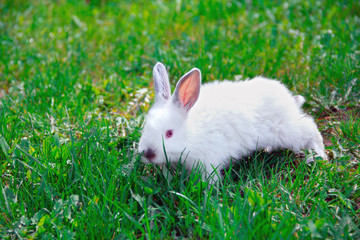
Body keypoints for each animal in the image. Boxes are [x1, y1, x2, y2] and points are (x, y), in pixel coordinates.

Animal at [137, 62, 326, 181]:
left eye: (169, 133)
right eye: (145, 128)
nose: (148, 154)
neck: (192, 133)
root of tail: (289, 99)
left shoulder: (208, 161)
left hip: (287, 131)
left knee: (310, 129)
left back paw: (318, 156)